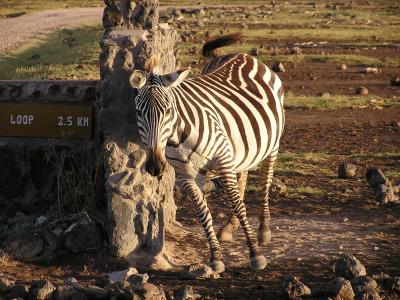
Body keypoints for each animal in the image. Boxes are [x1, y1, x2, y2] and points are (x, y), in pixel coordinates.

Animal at [130, 32, 284, 272]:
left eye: (169, 110)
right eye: (139, 112)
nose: (155, 166)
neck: (177, 138)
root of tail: (240, 54)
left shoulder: (223, 160)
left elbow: (237, 203)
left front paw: (255, 254)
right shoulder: (186, 175)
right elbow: (203, 212)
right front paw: (215, 257)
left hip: (272, 144)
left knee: (265, 181)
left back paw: (263, 230)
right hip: (241, 150)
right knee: (243, 178)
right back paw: (230, 226)